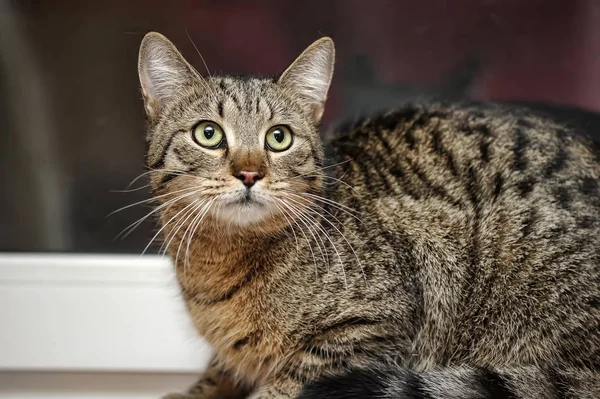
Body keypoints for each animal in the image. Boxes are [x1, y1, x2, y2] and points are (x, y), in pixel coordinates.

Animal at [137, 32, 600, 399]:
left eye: (279, 138)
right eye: (208, 134)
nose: (250, 173)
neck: (217, 265)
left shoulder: (373, 330)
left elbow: (294, 382)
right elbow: (217, 372)